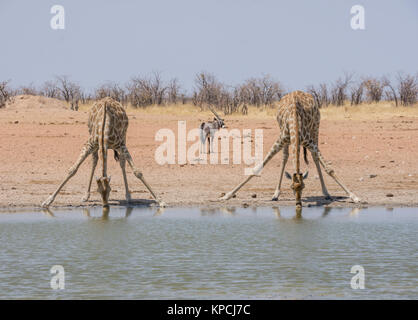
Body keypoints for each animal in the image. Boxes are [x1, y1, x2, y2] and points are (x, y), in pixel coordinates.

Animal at [220, 90, 360, 206]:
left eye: (303, 187)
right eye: (292, 187)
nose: (298, 203)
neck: (295, 120)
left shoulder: (309, 141)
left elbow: (329, 169)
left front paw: (354, 196)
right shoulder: (281, 139)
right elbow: (257, 168)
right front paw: (227, 195)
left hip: (316, 127)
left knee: (314, 158)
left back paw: (326, 193)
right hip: (284, 135)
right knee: (285, 157)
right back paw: (275, 194)